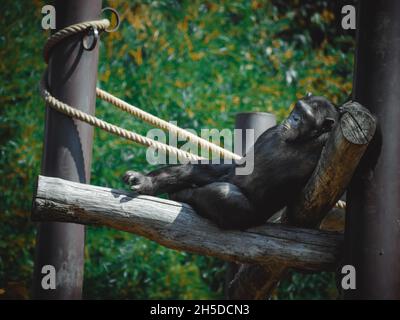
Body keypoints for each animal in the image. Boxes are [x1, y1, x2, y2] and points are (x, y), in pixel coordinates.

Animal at [123, 94, 340, 230]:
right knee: (199, 171)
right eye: (298, 108)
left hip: (248, 217)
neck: (303, 139)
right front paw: (148, 181)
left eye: (305, 116)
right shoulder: (270, 132)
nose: (294, 118)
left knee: (223, 194)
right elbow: (240, 165)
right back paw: (147, 183)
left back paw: (183, 194)